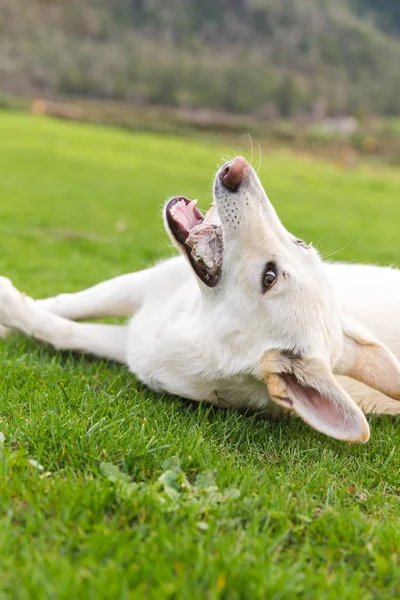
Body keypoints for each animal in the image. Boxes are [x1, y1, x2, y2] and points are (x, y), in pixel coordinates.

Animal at [0, 157, 400, 442]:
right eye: (301, 243)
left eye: (268, 279)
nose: (237, 168)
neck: (196, 318)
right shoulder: (142, 289)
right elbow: (65, 305)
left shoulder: (138, 345)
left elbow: (58, 329)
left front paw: (11, 308)